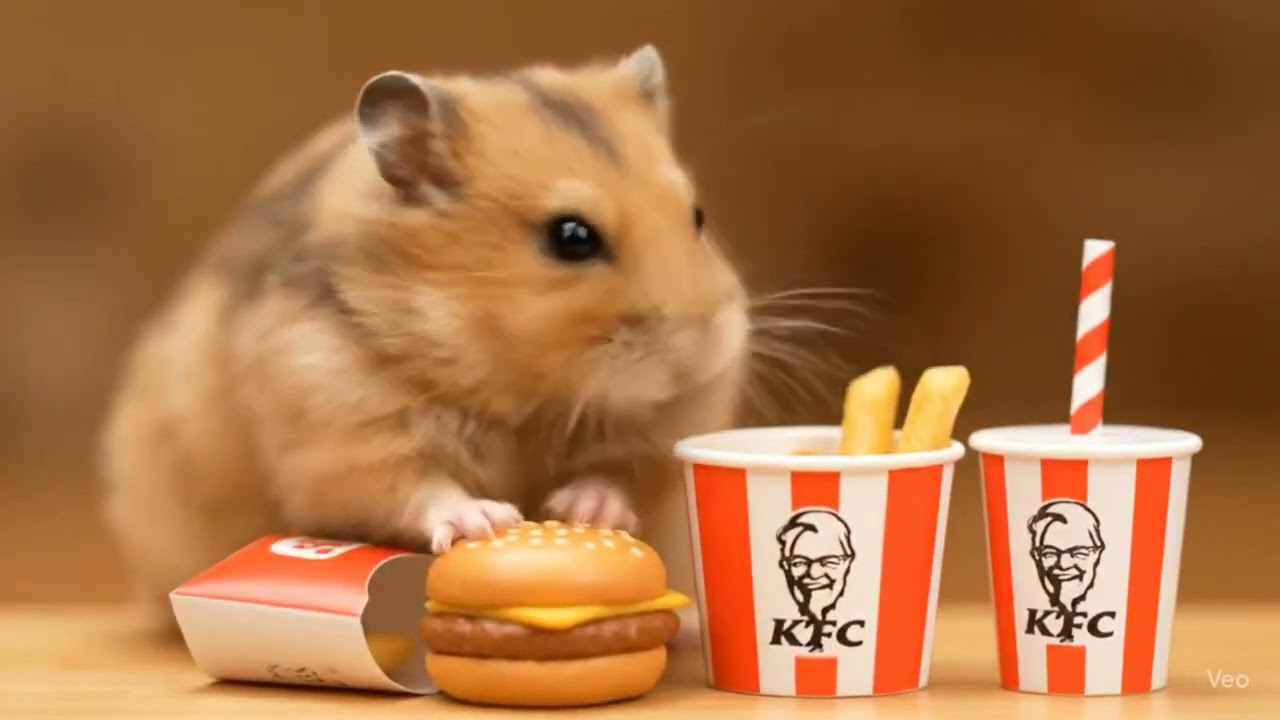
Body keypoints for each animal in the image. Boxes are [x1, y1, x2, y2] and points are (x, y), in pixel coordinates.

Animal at [99, 44, 750, 628]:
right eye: (571, 237)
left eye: (697, 216)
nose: (703, 354)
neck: (520, 393)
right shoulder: (338, 438)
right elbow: (412, 487)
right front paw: (491, 520)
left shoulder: (663, 435)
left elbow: (624, 471)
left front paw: (581, 510)